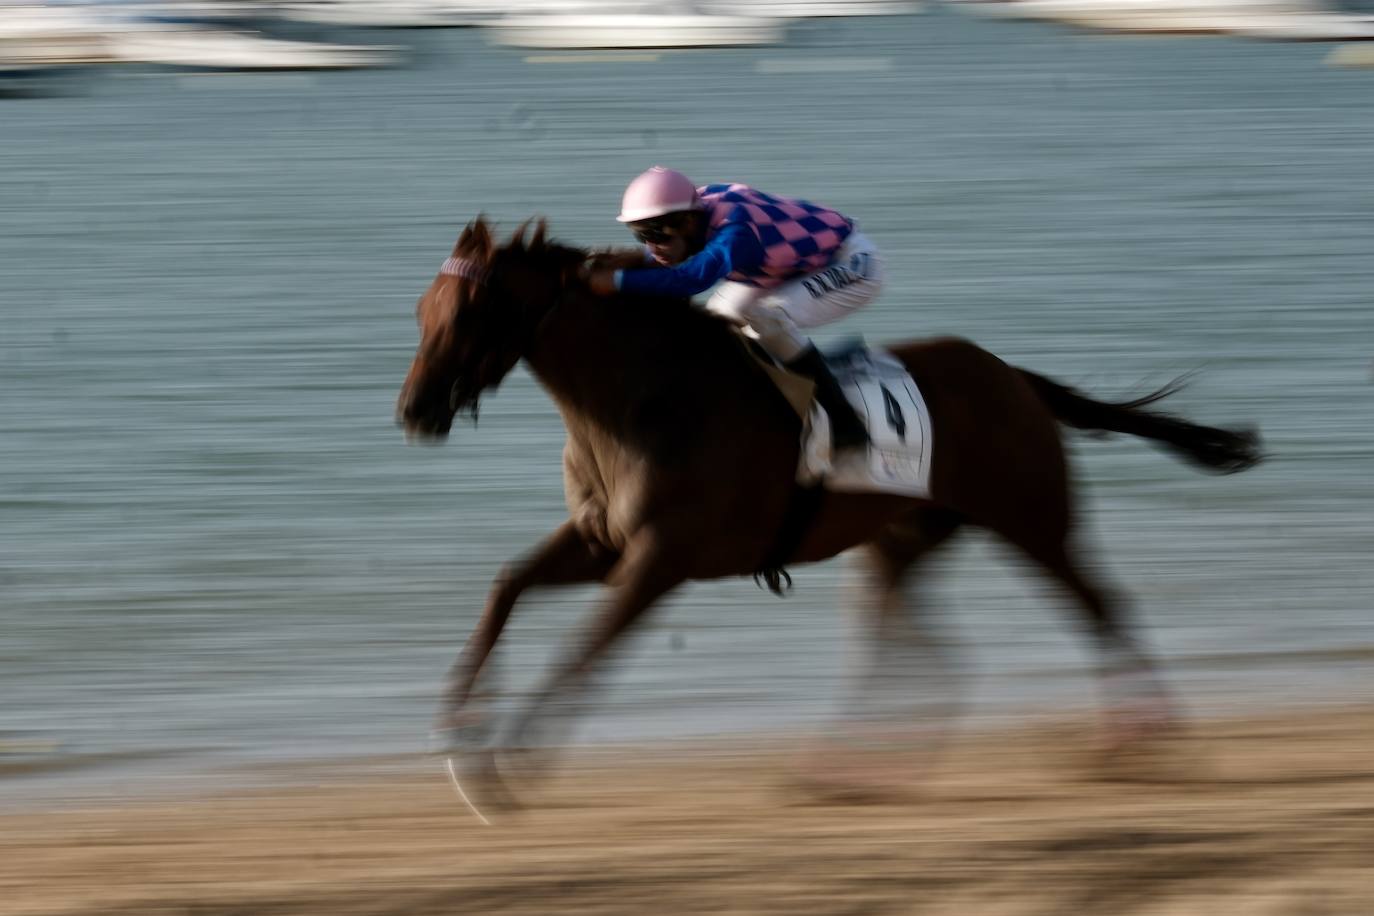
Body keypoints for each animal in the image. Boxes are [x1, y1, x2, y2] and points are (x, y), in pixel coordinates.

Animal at [396, 217, 1261, 804]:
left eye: (468, 313)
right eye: (421, 310)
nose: (415, 411)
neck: (644, 397)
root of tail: (1016, 377)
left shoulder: (658, 562)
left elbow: (582, 651)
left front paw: (508, 767)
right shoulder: (603, 544)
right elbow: (507, 586)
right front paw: (458, 739)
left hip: (1033, 520)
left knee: (1102, 605)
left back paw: (1138, 742)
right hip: (901, 544)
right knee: (920, 655)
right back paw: (841, 770)